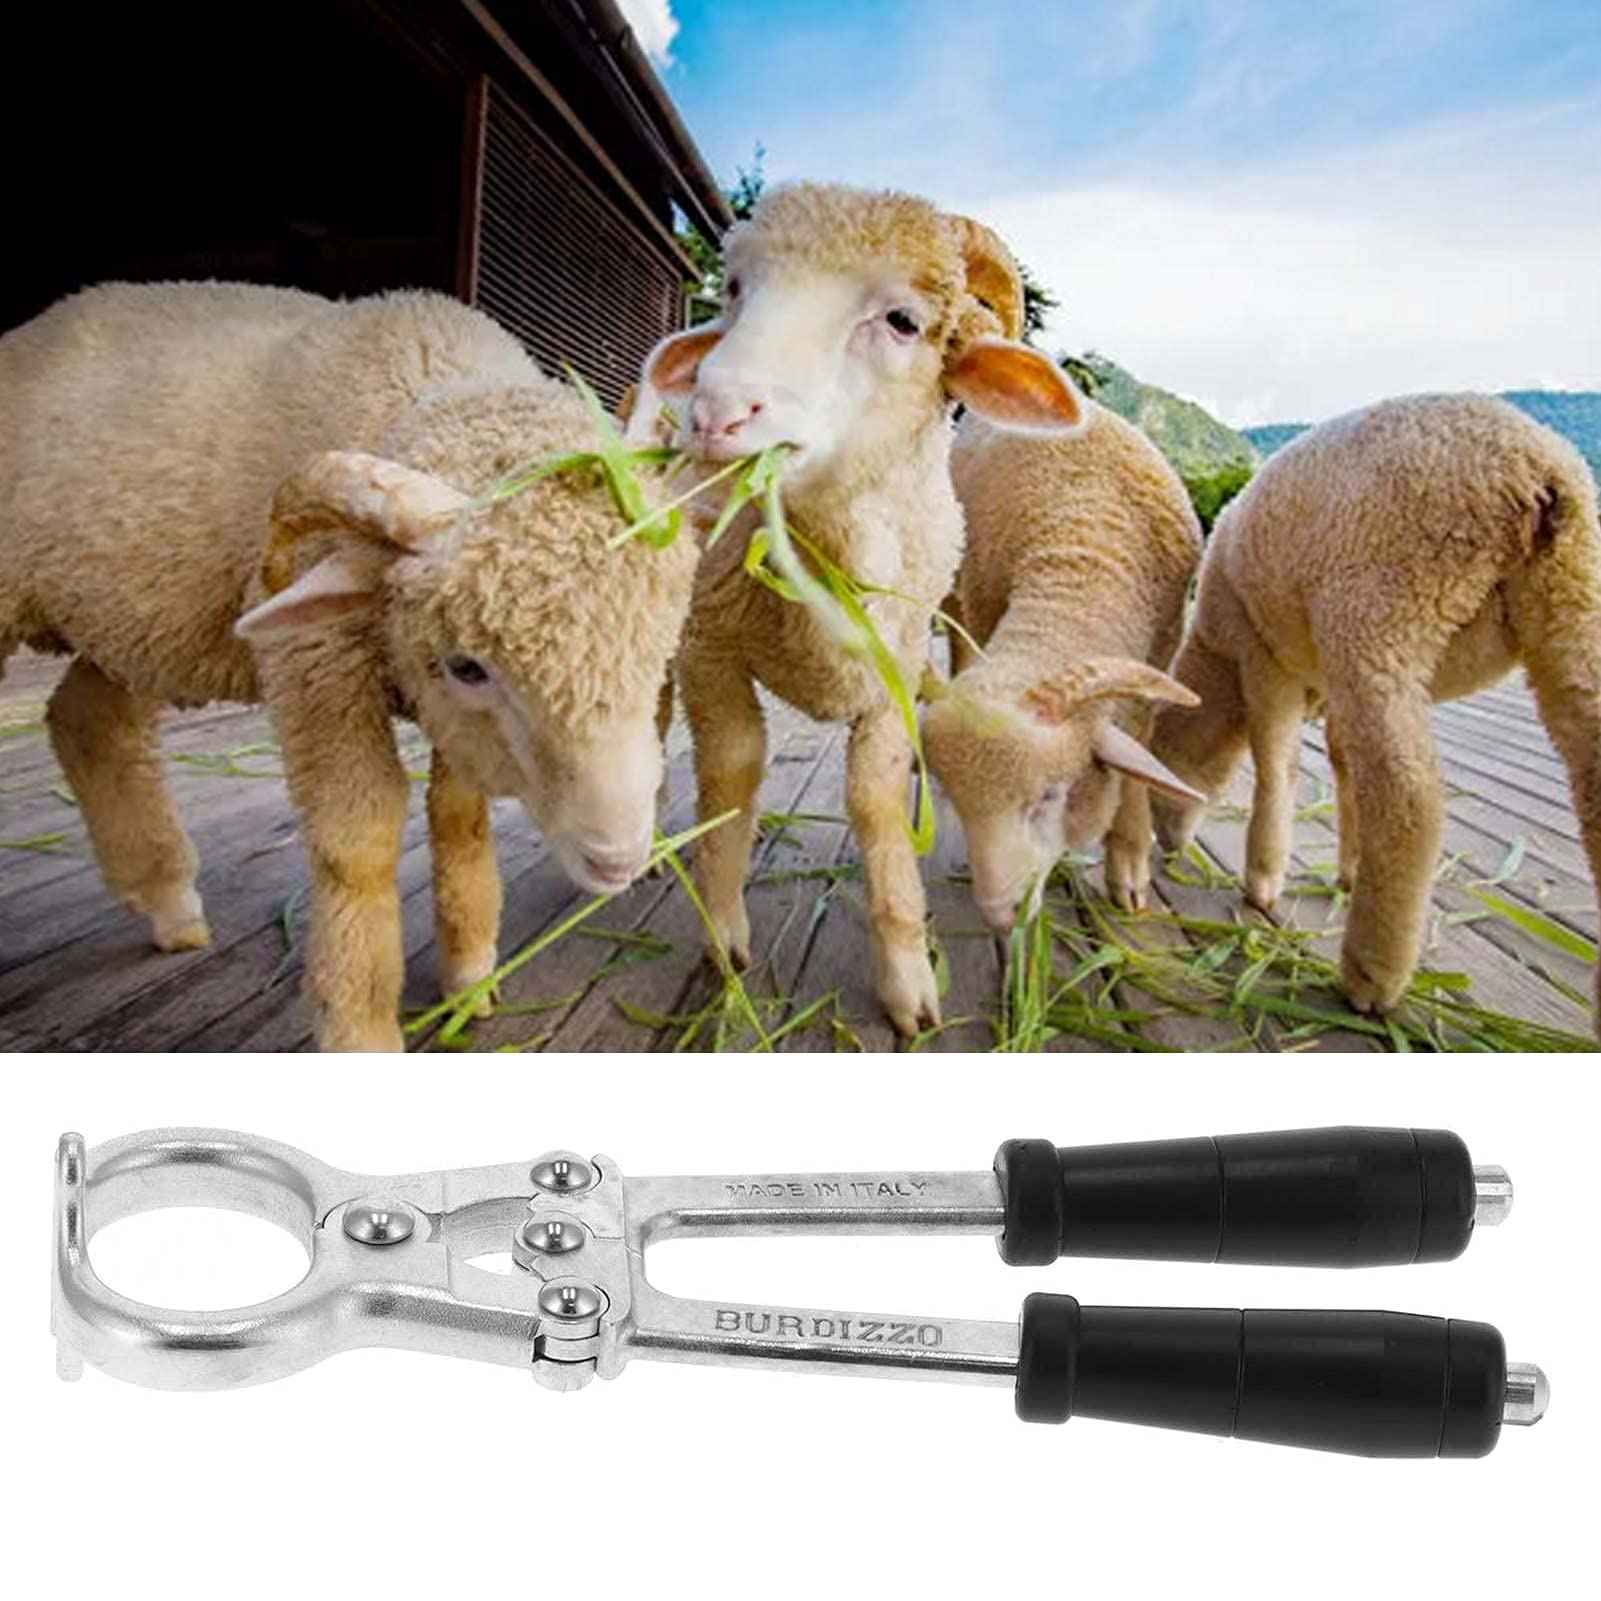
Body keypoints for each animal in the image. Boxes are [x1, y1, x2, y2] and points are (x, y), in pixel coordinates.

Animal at [0, 281, 696, 1051]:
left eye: (663, 644)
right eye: (468, 666)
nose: (618, 858)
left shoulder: (448, 712)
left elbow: (459, 817)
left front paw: (469, 971)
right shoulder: (318, 662)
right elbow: (355, 840)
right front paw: (360, 1021)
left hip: (136, 627)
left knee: (87, 721)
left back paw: (169, 904)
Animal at [628, 183, 1086, 1036]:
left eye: (902, 320)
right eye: (734, 289)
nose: (714, 412)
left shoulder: (896, 670)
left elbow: (874, 803)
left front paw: (908, 981)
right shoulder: (710, 648)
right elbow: (731, 774)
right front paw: (723, 934)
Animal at [922, 404, 1205, 932]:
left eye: (1050, 796)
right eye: (958, 802)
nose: (1001, 915)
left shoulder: (1155, 661)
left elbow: (1134, 769)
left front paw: (1129, 870)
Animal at [1144, 392, 1601, 1025]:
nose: (1167, 845)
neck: (1219, 663)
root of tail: (1536, 468)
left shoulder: (1265, 655)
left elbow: (1276, 763)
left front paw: (1263, 877)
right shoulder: (1327, 683)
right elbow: (1341, 762)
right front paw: (1350, 869)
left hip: (1380, 614)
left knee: (1409, 797)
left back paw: (1371, 976)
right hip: (1570, 604)